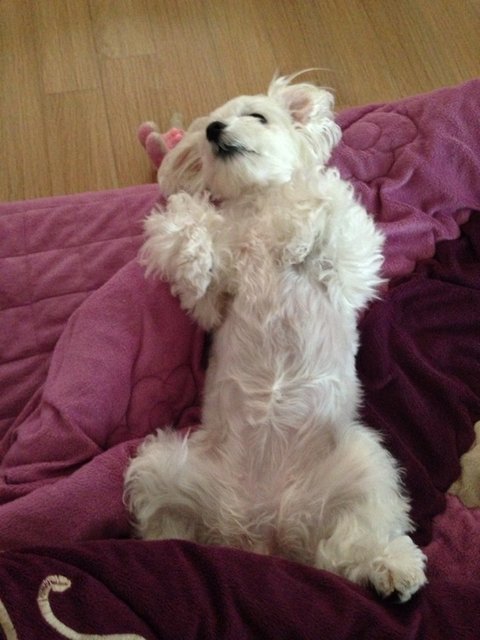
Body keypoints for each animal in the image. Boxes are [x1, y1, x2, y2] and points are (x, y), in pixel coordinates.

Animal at [125, 75, 427, 602]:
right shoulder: (214, 304)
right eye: (210, 126)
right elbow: (188, 240)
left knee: (351, 545)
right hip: (161, 466)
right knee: (172, 524)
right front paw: (193, 250)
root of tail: (265, 531)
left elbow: (321, 206)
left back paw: (391, 567)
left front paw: (296, 228)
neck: (257, 204)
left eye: (257, 117)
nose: (215, 131)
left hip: (367, 470)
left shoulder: (352, 266)